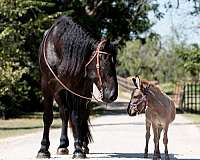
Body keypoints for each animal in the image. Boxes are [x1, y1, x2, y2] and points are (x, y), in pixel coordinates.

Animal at [37, 16, 118, 159]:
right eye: (104, 58)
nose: (113, 94)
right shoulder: (47, 85)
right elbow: (48, 116)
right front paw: (43, 149)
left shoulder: (77, 88)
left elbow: (77, 118)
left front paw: (79, 149)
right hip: (59, 92)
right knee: (64, 112)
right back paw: (63, 145)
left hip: (84, 93)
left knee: (82, 115)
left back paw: (83, 145)